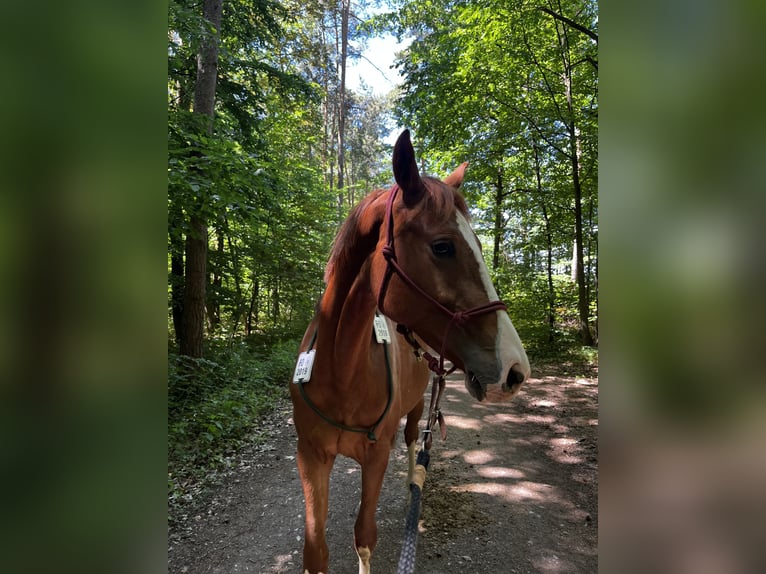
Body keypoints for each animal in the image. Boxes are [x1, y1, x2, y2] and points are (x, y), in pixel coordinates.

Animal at [290, 129, 530, 574]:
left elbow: (364, 537)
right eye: (443, 247)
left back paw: (411, 489)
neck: (339, 370)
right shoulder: (310, 457)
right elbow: (316, 549)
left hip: (418, 407)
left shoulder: (376, 456)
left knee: (413, 441)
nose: (514, 370)